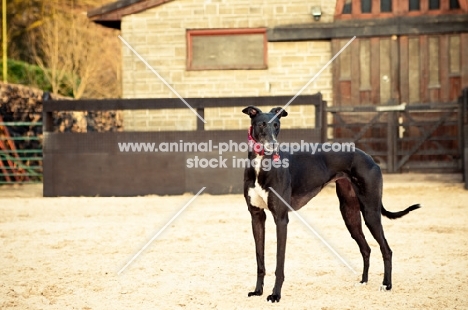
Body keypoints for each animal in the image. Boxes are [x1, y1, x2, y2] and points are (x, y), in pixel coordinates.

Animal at [243, 106, 418, 302]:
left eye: (277, 125)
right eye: (261, 124)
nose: (273, 145)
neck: (261, 165)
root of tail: (370, 158)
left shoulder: (281, 218)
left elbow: (279, 262)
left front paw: (275, 294)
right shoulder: (257, 217)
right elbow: (260, 259)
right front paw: (258, 291)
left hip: (370, 212)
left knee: (386, 249)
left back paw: (386, 284)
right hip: (350, 214)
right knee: (366, 248)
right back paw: (363, 281)